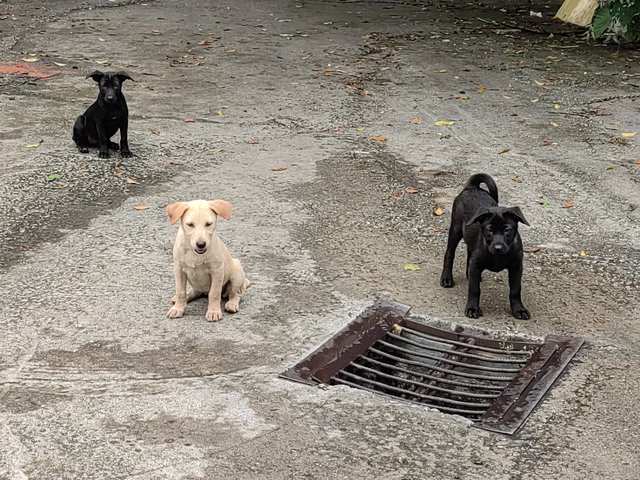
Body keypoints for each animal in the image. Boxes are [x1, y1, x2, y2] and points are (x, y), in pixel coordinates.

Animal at [440, 172, 528, 318]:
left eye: (507, 230)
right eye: (489, 230)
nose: (498, 248)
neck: (498, 257)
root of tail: (472, 187)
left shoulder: (516, 267)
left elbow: (515, 290)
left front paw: (519, 309)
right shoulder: (476, 265)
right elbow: (474, 289)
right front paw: (472, 308)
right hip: (456, 229)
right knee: (449, 253)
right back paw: (446, 278)